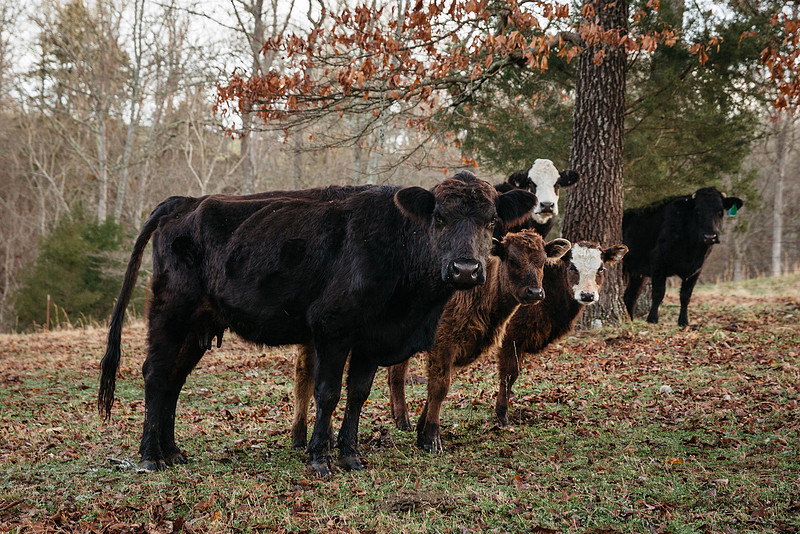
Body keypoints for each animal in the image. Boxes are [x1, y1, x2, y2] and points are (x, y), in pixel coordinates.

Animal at [98, 172, 537, 476]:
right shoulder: (333, 328)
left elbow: (358, 393)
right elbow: (327, 393)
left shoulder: (372, 337)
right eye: (440, 217)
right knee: (155, 373)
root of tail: (183, 201)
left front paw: (351, 455)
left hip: (198, 326)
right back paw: (150, 457)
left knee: (174, 380)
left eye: (491, 220)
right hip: (170, 312)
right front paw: (319, 458)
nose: (466, 269)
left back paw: (172, 451)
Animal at [289, 230, 571, 452]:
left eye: (543, 262)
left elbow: (434, 387)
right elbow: (440, 387)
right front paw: (432, 439)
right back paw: (302, 436)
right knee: (306, 377)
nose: (535, 292)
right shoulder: (444, 344)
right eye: (511, 259)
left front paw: (420, 430)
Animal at [494, 241, 628, 426]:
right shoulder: (511, 338)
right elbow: (509, 374)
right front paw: (502, 416)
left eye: (601, 268)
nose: (587, 295)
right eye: (572, 267)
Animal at [622, 187, 744, 327]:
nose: (710, 237)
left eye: (720, 211)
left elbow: (686, 296)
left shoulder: (697, 269)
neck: (692, 251)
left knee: (631, 296)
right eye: (697, 210)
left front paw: (684, 322)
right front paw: (652, 319)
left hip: (637, 273)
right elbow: (659, 292)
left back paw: (629, 320)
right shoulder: (658, 260)